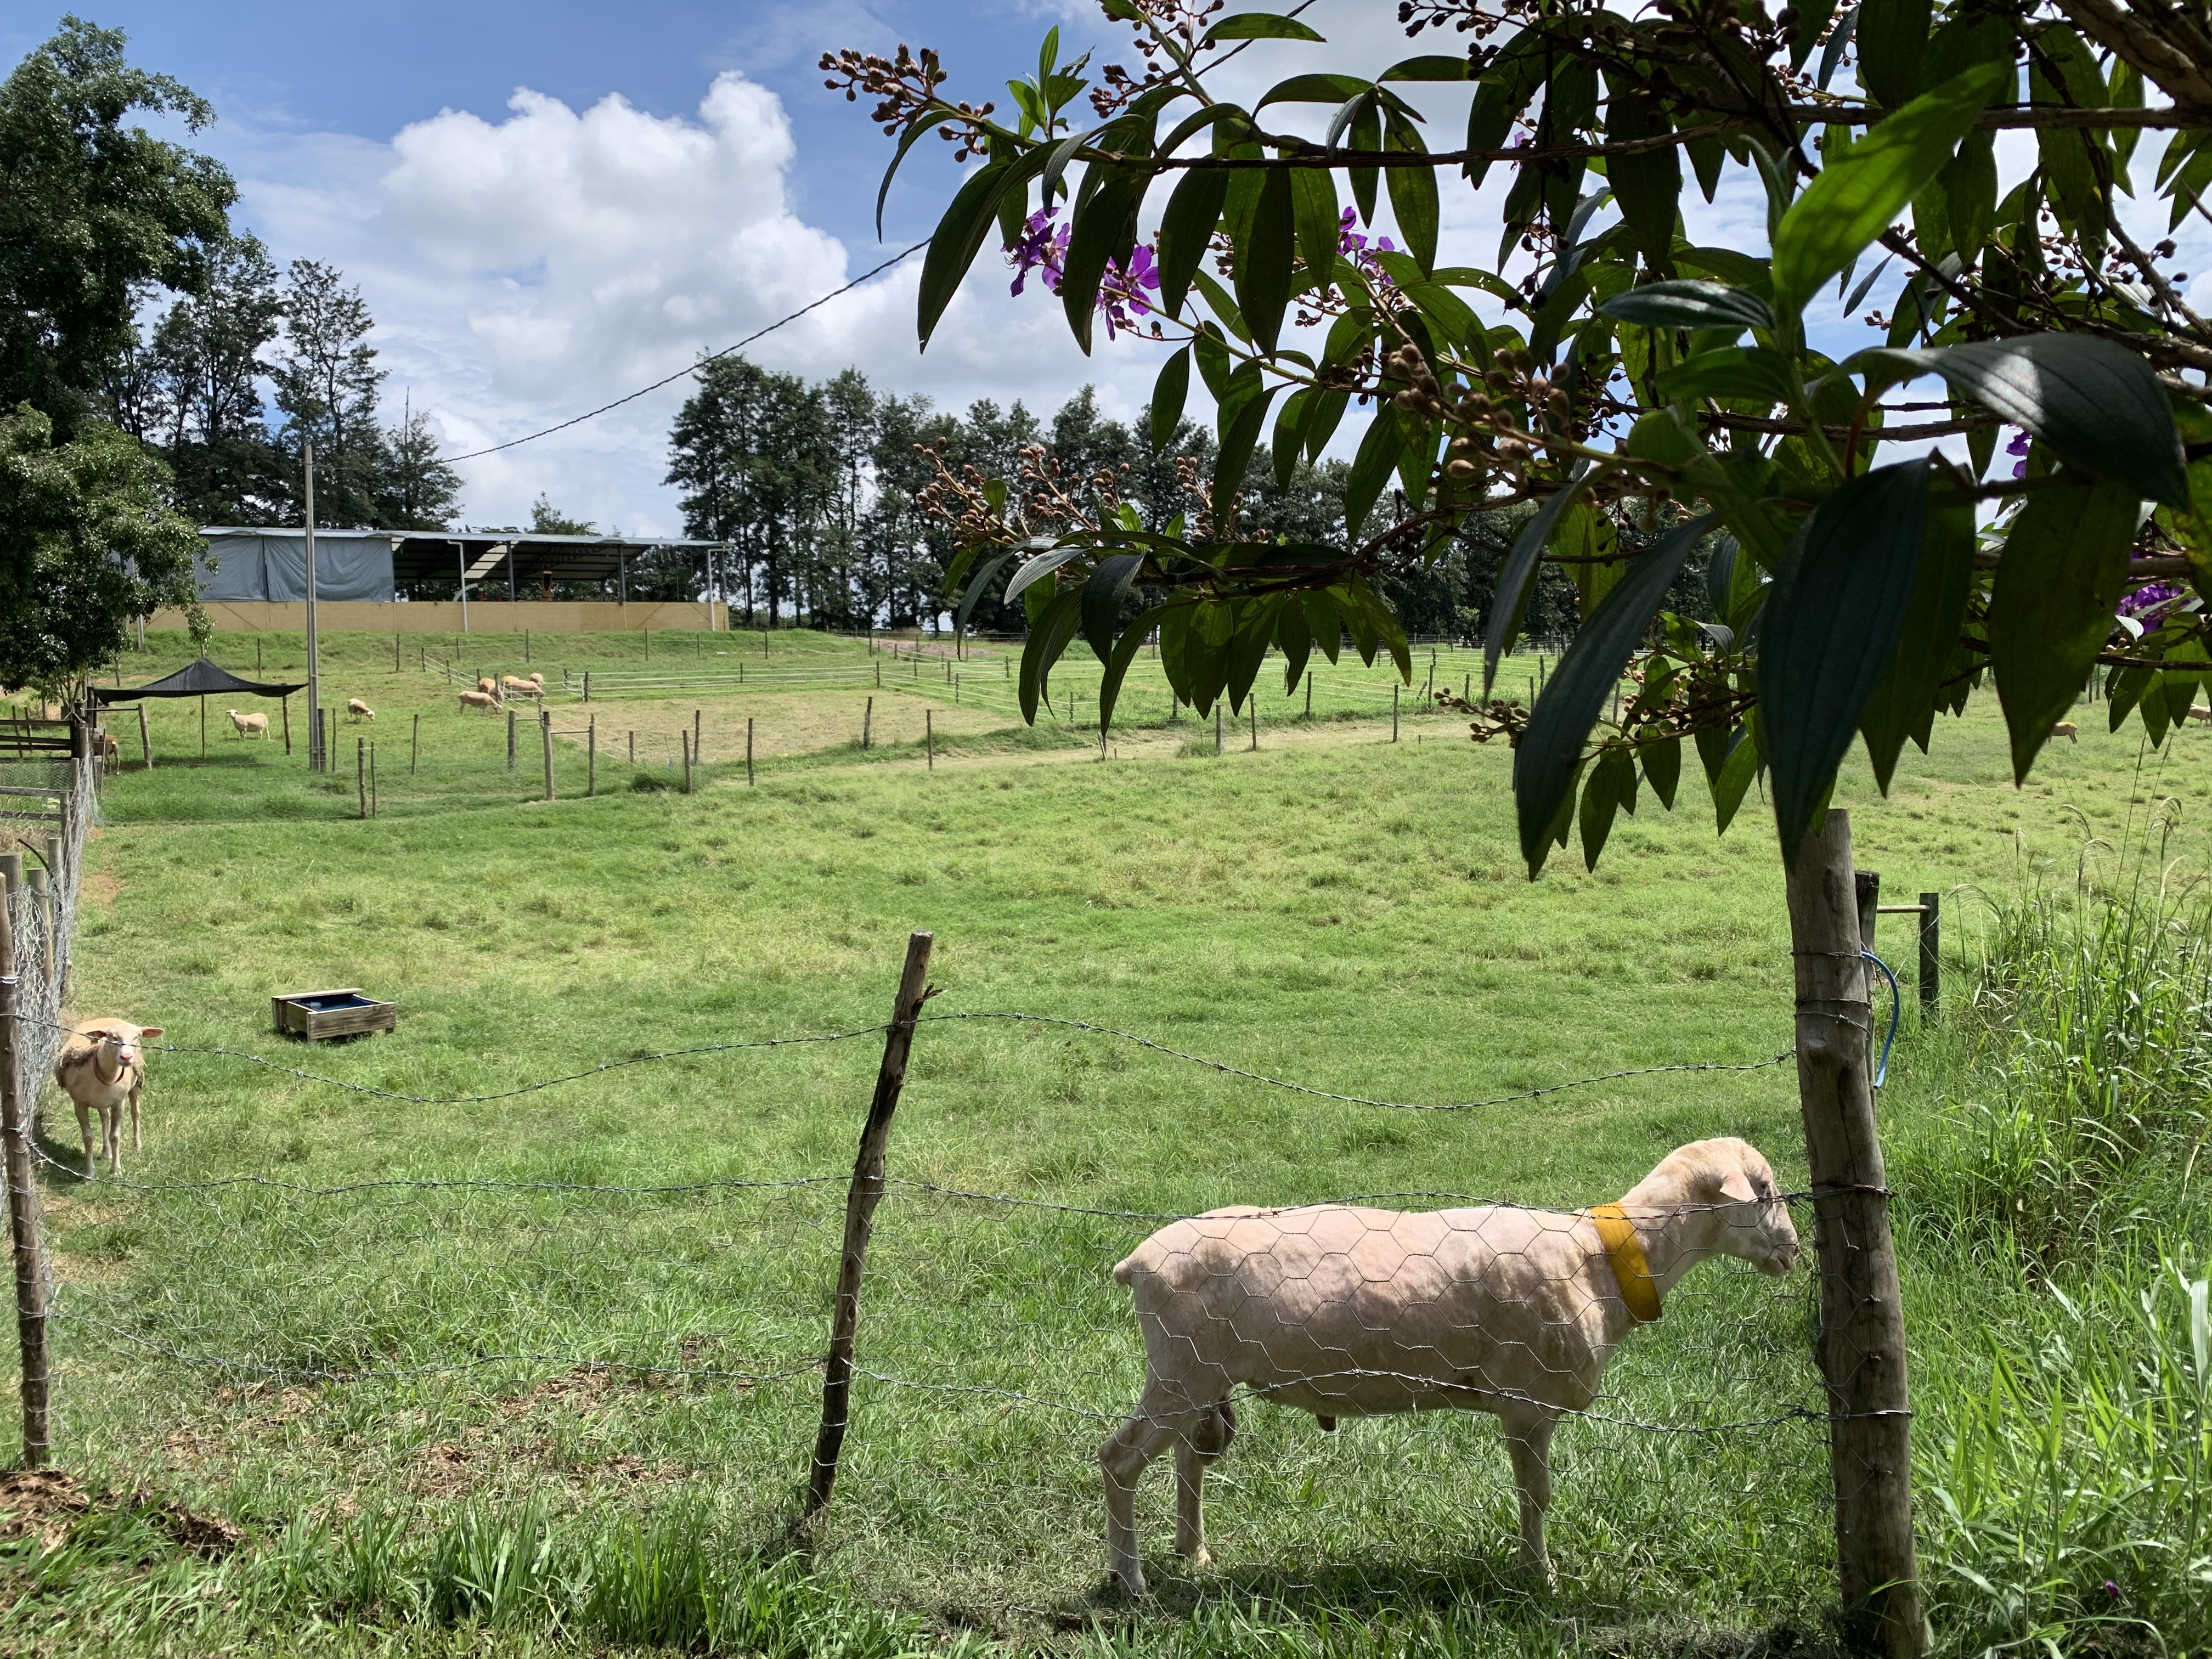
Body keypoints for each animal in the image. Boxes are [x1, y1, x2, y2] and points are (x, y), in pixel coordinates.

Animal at [54, 1022, 165, 1177]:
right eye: (113, 1037)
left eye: (137, 1036)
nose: (126, 1057)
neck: (106, 1075)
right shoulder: (79, 1103)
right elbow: (88, 1138)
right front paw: (90, 1172)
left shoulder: (118, 1103)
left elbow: (115, 1137)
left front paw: (116, 1170)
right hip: (102, 1101)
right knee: (105, 1118)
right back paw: (106, 1152)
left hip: (135, 1084)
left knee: (135, 1112)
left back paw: (137, 1146)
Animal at [1101, 1141, 1796, 1593]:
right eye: (1763, 1190)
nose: (1792, 1251)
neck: (1603, 1260)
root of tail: (1137, 1262)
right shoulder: (1526, 1405)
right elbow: (1537, 1495)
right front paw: (1540, 1576)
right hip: (1181, 1370)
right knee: (1120, 1459)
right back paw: (1130, 1580)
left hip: (1199, 1375)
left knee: (1187, 1456)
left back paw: (1193, 1552)